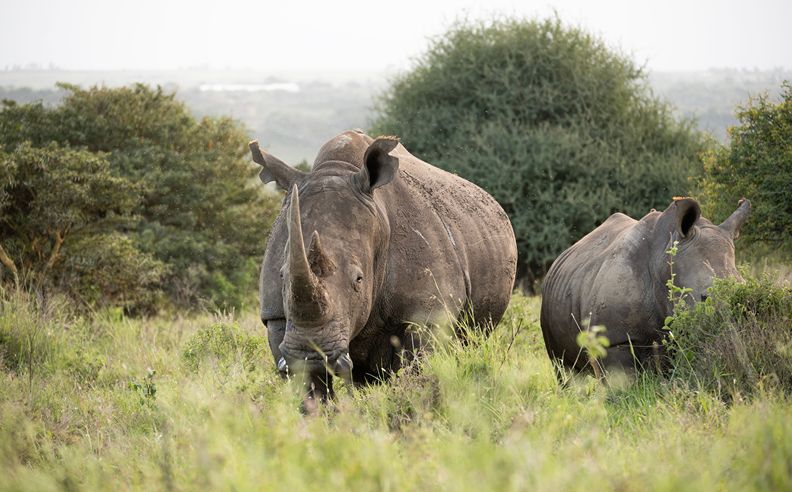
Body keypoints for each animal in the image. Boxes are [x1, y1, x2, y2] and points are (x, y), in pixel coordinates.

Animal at [250, 130, 517, 402]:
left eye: (359, 279)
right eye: (282, 276)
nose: (311, 356)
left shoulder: (429, 316)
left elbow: (418, 377)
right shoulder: (276, 316)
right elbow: (310, 391)